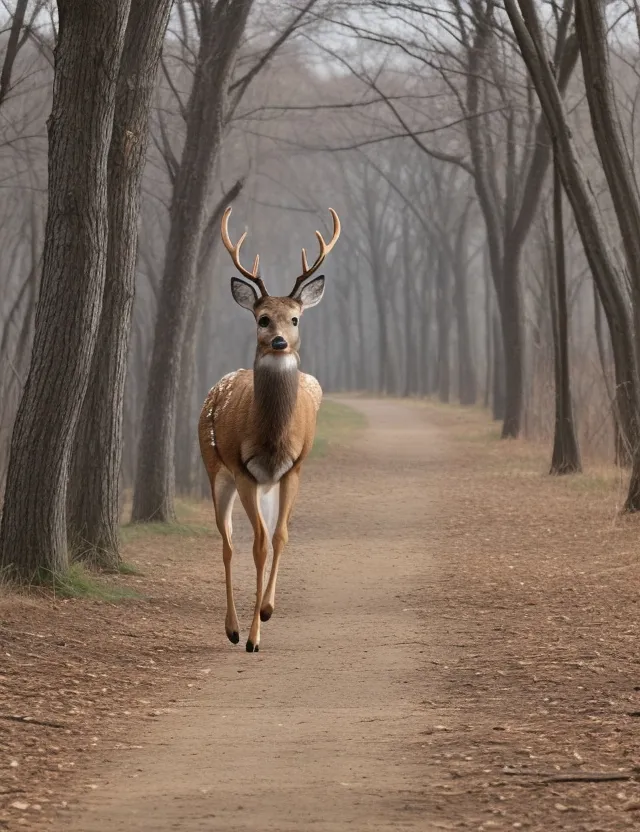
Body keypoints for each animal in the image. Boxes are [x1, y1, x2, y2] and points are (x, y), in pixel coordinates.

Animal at [199, 206, 340, 648]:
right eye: (262, 319)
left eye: (294, 318)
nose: (279, 341)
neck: (272, 439)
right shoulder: (243, 469)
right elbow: (257, 545)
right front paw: (252, 636)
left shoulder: (293, 468)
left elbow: (279, 537)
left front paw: (267, 609)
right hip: (216, 469)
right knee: (227, 542)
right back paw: (231, 629)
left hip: (267, 485)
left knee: (257, 535)